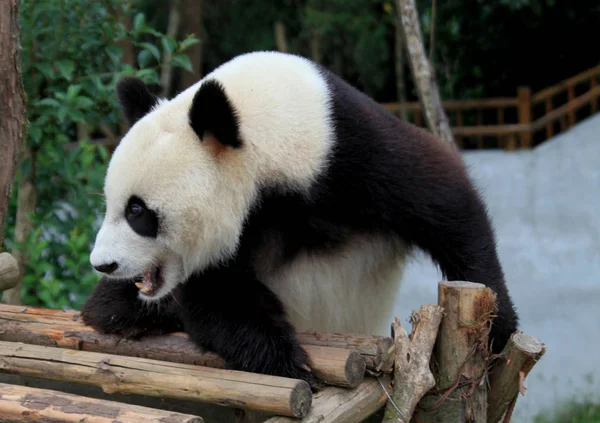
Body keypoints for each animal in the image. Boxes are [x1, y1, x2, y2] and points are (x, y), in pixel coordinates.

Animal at [82, 49, 516, 388]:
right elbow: (221, 296)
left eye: (137, 211)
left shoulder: (348, 149)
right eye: (111, 203)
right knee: (110, 308)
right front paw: (291, 364)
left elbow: (444, 199)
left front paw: (498, 328)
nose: (103, 264)